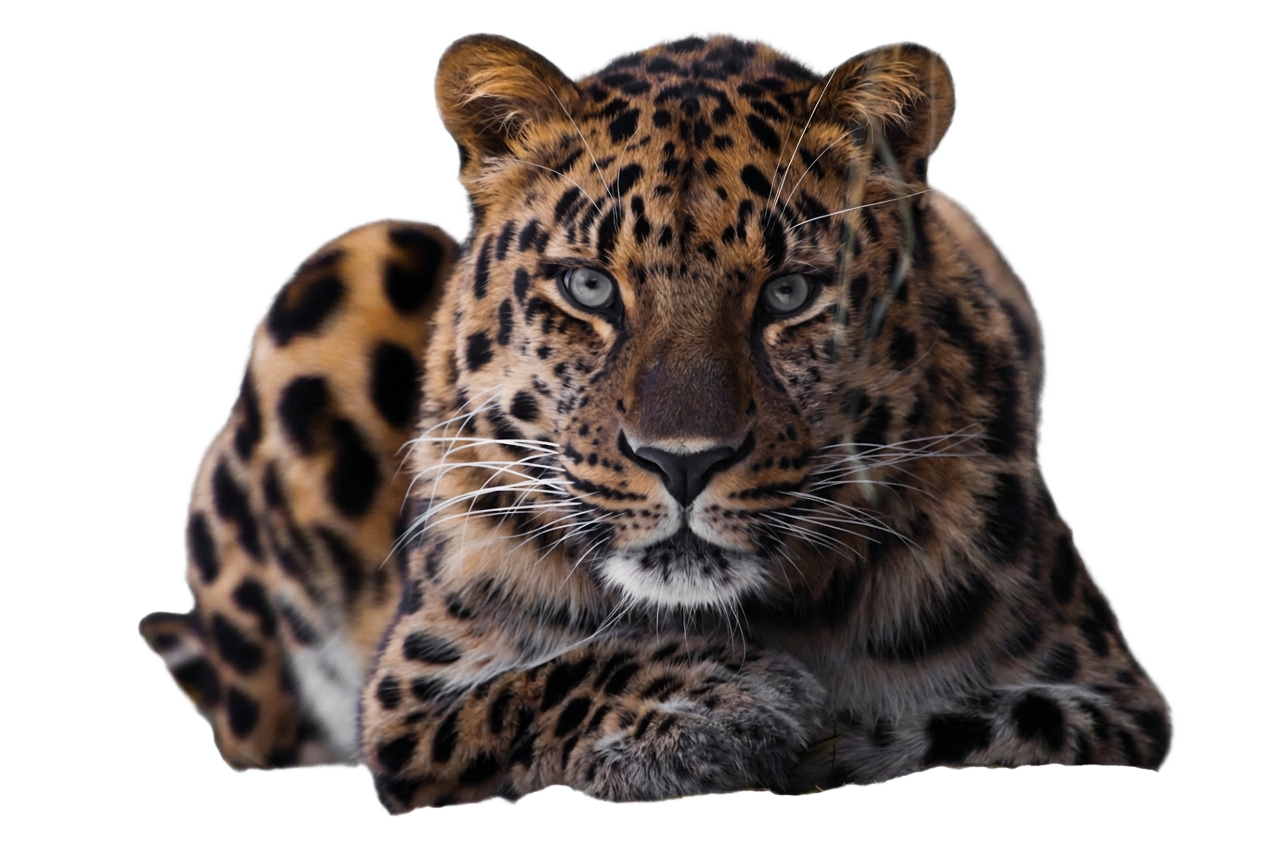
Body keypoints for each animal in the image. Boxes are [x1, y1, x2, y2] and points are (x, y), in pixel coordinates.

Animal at [139, 32, 1172, 811]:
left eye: (789, 293)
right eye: (591, 287)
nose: (683, 462)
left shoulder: (1119, 703)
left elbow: (969, 721)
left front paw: (808, 728)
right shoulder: (406, 702)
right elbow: (540, 681)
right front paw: (722, 707)